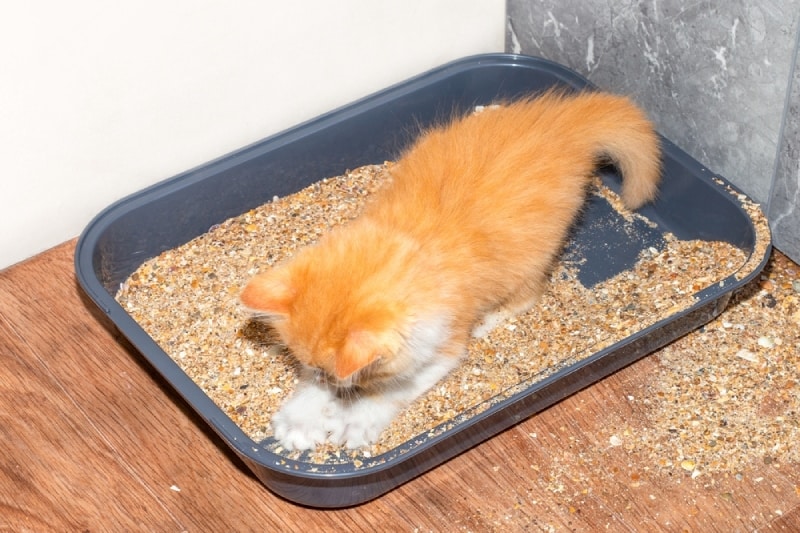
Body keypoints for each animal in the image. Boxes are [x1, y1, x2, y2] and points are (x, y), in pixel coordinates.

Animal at [239, 88, 664, 448]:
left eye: (333, 371)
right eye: (313, 367)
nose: (328, 381)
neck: (411, 247)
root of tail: (564, 123)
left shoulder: (445, 346)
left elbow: (393, 392)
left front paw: (354, 421)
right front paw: (301, 419)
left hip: (531, 260)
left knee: (528, 297)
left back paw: (491, 321)